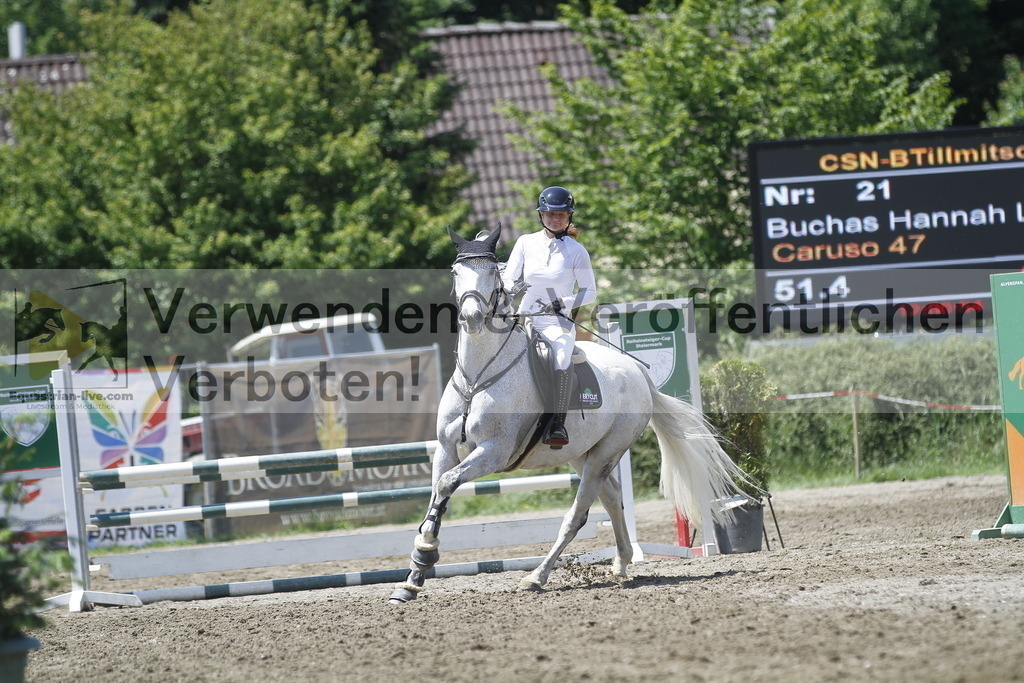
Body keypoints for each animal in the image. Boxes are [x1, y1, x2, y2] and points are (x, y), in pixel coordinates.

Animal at [387, 225, 741, 602]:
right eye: (456, 272)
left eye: (493, 275)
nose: (472, 318)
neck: (478, 377)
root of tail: (636, 371)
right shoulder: (445, 448)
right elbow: (438, 490)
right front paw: (412, 577)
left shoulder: (494, 453)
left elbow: (446, 484)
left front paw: (425, 555)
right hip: (580, 454)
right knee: (612, 497)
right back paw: (622, 563)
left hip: (605, 453)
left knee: (578, 515)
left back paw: (537, 577)